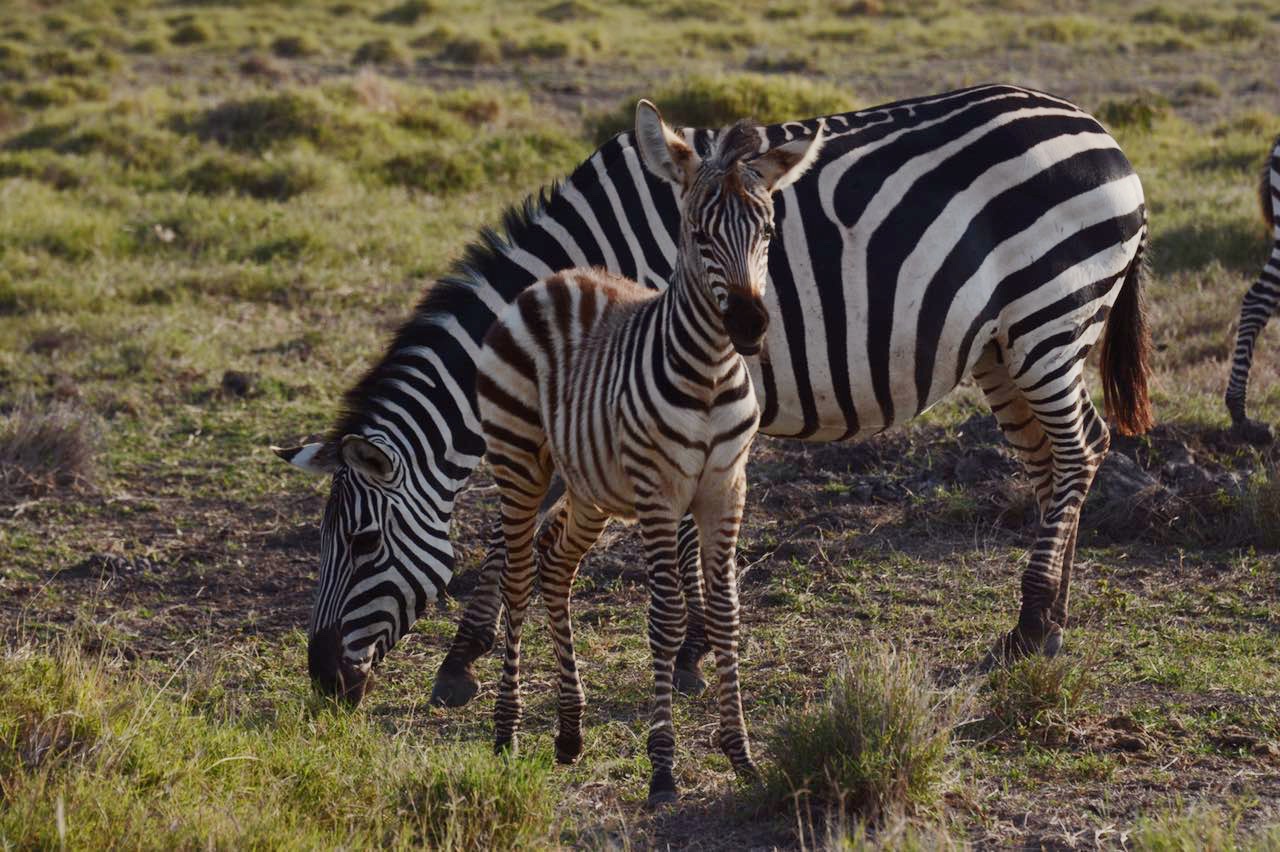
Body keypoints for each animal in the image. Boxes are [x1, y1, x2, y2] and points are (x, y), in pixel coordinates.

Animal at [272, 83, 1152, 708]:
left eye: (362, 544)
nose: (323, 681)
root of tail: (1100, 131)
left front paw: (681, 655)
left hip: (1048, 317)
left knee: (1080, 451)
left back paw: (1031, 622)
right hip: (1007, 346)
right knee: (1062, 462)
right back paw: (1052, 621)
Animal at [476, 103, 824, 803]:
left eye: (769, 230)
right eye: (695, 232)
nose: (750, 326)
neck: (712, 372)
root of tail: (557, 278)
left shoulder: (726, 486)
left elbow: (725, 613)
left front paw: (741, 755)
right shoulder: (661, 492)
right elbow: (664, 617)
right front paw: (663, 767)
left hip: (589, 486)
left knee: (556, 566)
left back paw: (569, 732)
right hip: (519, 462)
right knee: (518, 576)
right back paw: (506, 731)